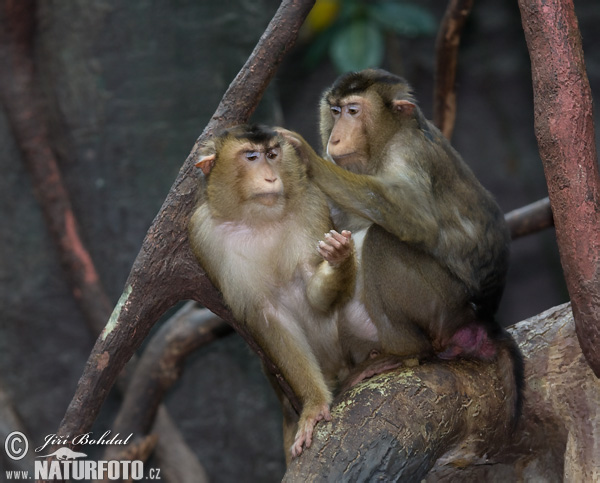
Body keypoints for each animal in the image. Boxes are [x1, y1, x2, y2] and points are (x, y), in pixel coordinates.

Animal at [190, 124, 354, 458]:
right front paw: (314, 404)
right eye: (251, 157)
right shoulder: (202, 235)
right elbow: (264, 314)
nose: (270, 178)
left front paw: (340, 259)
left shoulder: (310, 204)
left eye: (272, 154)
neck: (257, 219)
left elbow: (313, 292)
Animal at [278, 70, 524, 422]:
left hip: (444, 306)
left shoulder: (406, 151)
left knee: (381, 241)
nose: (334, 139)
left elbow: (415, 218)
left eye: (353, 111)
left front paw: (305, 158)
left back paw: (404, 351)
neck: (386, 140)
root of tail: (482, 320)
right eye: (335, 111)